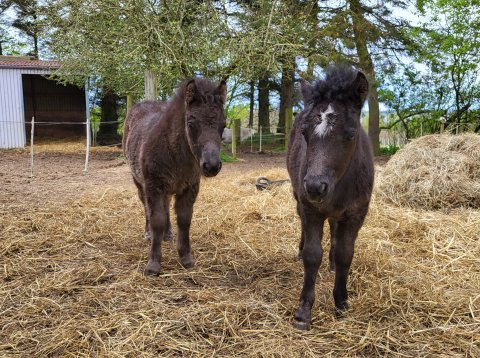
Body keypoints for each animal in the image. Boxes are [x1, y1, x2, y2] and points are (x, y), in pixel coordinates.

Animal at [124, 77, 229, 274]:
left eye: (224, 124)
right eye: (190, 123)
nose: (211, 166)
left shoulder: (190, 187)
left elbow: (184, 219)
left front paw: (186, 258)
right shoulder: (153, 185)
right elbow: (156, 219)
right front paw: (153, 264)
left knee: (165, 207)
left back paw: (168, 234)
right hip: (140, 181)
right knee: (146, 207)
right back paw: (149, 233)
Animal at [286, 65, 374, 330]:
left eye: (351, 133)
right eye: (304, 132)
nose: (315, 187)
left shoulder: (356, 213)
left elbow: (346, 253)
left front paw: (341, 303)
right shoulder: (310, 208)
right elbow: (312, 255)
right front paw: (303, 312)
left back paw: (333, 263)